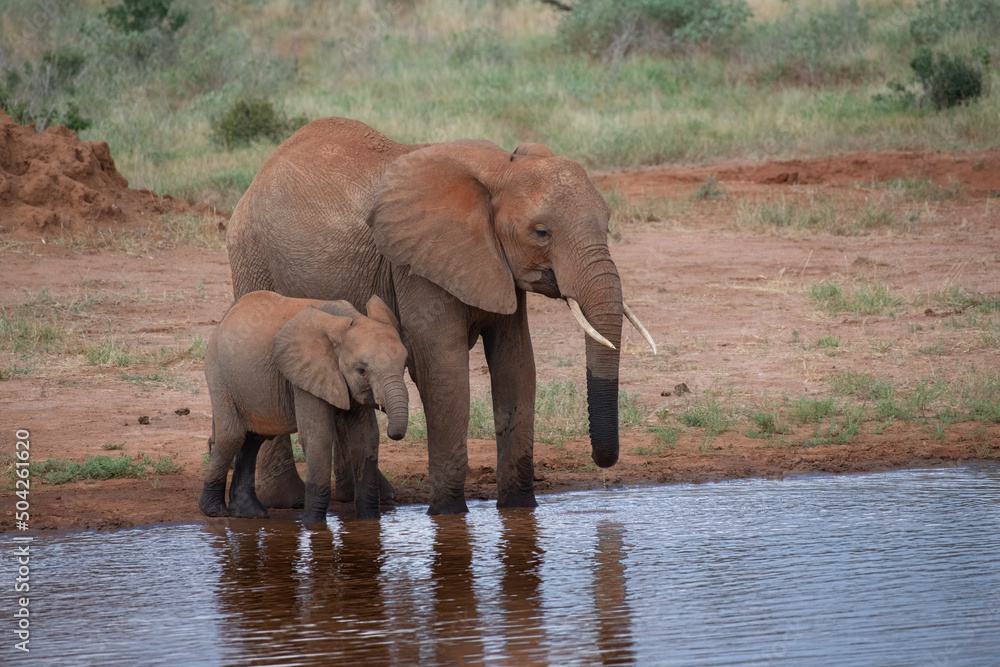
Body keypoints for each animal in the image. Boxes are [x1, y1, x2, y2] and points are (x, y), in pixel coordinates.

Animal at [198, 290, 409, 523]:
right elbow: (319, 436)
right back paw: (214, 511)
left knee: (254, 438)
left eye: (405, 364)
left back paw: (250, 513)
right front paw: (312, 524)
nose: (394, 431)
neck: (350, 321)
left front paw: (369, 520)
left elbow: (366, 437)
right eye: (361, 370)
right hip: (219, 372)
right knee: (232, 437)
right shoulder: (304, 375)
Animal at [226, 117, 655, 515]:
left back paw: (367, 497)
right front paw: (448, 514)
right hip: (252, 254)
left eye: (607, 224)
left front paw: (519, 508)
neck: (500, 169)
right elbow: (442, 370)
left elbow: (517, 365)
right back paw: (289, 500)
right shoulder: (415, 267)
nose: (603, 462)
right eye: (541, 232)